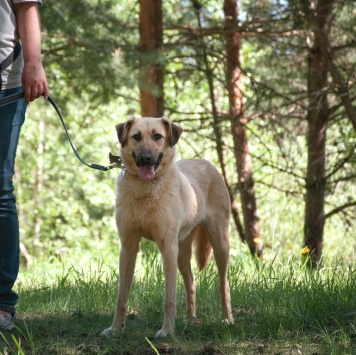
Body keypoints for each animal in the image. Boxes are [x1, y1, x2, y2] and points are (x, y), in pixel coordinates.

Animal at [101, 117, 234, 340]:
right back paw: (190, 320)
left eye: (158, 136)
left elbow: (169, 298)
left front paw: (167, 331)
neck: (145, 189)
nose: (146, 158)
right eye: (136, 136)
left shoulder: (167, 248)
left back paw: (228, 319)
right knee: (191, 283)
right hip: (182, 252)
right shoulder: (128, 247)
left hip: (219, 243)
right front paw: (115, 329)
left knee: (223, 284)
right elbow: (121, 297)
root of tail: (206, 163)